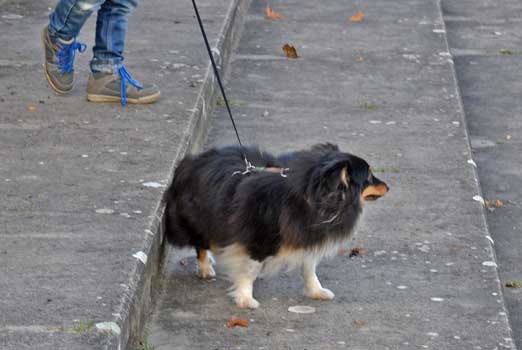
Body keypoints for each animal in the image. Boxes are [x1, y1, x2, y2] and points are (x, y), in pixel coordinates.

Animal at [165, 144, 388, 308]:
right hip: (199, 217)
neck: (314, 196)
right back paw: (205, 267)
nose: (388, 186)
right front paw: (246, 300)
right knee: (200, 242)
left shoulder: (306, 235)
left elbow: (309, 268)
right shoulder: (259, 238)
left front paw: (316, 291)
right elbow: (250, 270)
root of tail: (190, 161)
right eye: (369, 177)